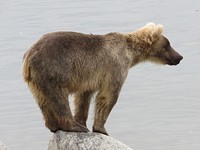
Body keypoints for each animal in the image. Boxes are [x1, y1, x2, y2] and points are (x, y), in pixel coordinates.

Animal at [22, 22, 183, 135]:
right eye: (168, 44)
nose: (179, 57)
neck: (131, 53)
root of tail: (28, 56)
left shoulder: (90, 77)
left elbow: (83, 98)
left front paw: (82, 120)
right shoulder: (115, 67)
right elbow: (108, 96)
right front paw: (100, 129)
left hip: (36, 81)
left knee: (43, 101)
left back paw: (54, 126)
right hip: (53, 71)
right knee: (58, 99)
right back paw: (73, 126)